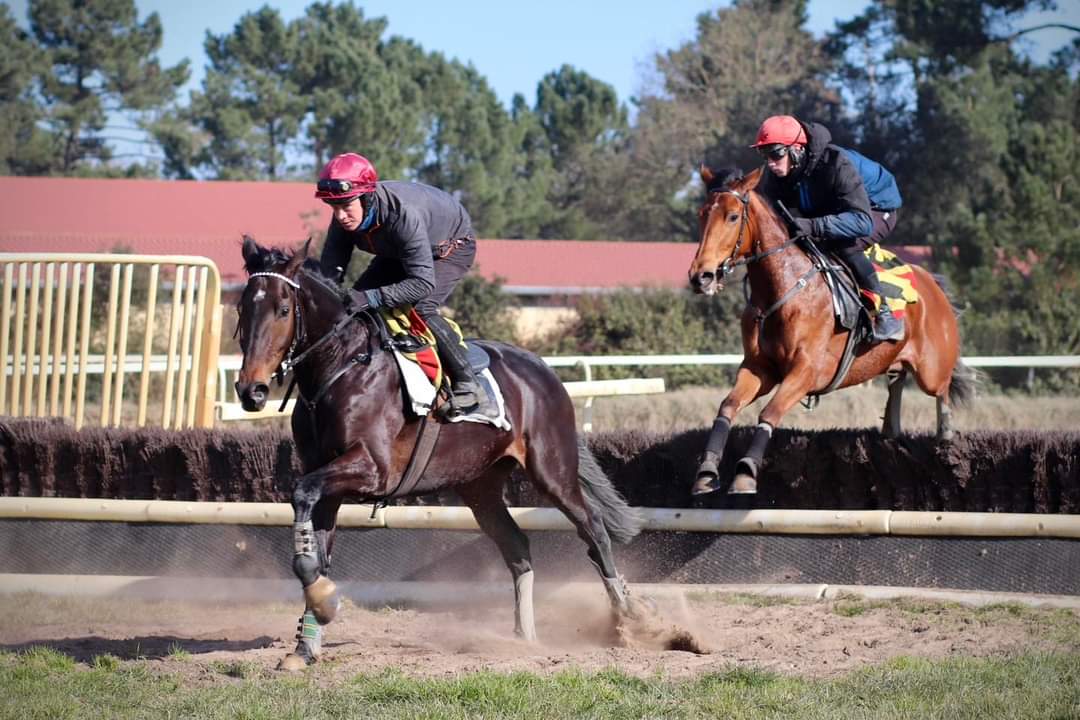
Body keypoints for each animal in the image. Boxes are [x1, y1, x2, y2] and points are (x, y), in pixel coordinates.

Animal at [233, 236, 643, 670]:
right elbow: (315, 540)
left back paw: (630, 620)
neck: (340, 369)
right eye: (243, 309)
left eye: (282, 309)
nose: (251, 390)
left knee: (593, 527)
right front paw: (307, 641)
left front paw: (319, 608)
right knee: (517, 547)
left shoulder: (373, 468)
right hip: (480, 486)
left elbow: (302, 494)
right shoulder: (327, 479)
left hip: (551, 469)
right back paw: (524, 638)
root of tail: (543, 369)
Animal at [687, 166, 975, 496]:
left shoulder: (806, 371)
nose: (701, 277)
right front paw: (707, 471)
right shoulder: (760, 367)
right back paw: (891, 431)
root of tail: (932, 283)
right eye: (702, 213)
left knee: (942, 391)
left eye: (733, 216)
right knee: (897, 381)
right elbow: (728, 406)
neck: (783, 288)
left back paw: (946, 441)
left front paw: (746, 472)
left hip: (931, 370)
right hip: (894, 361)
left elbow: (769, 413)